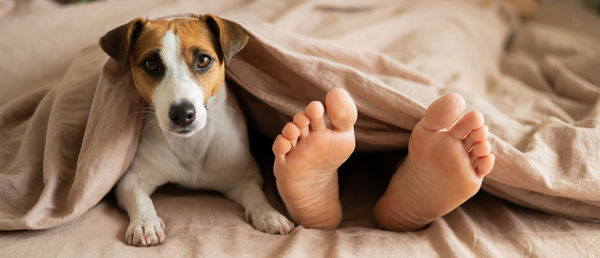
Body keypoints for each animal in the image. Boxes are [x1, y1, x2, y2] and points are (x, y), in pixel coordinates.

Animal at [99, 14, 296, 248]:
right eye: (151, 64)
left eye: (203, 60)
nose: (182, 113)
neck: (191, 145)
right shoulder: (131, 179)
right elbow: (140, 198)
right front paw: (145, 222)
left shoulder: (243, 177)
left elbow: (256, 195)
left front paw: (268, 214)